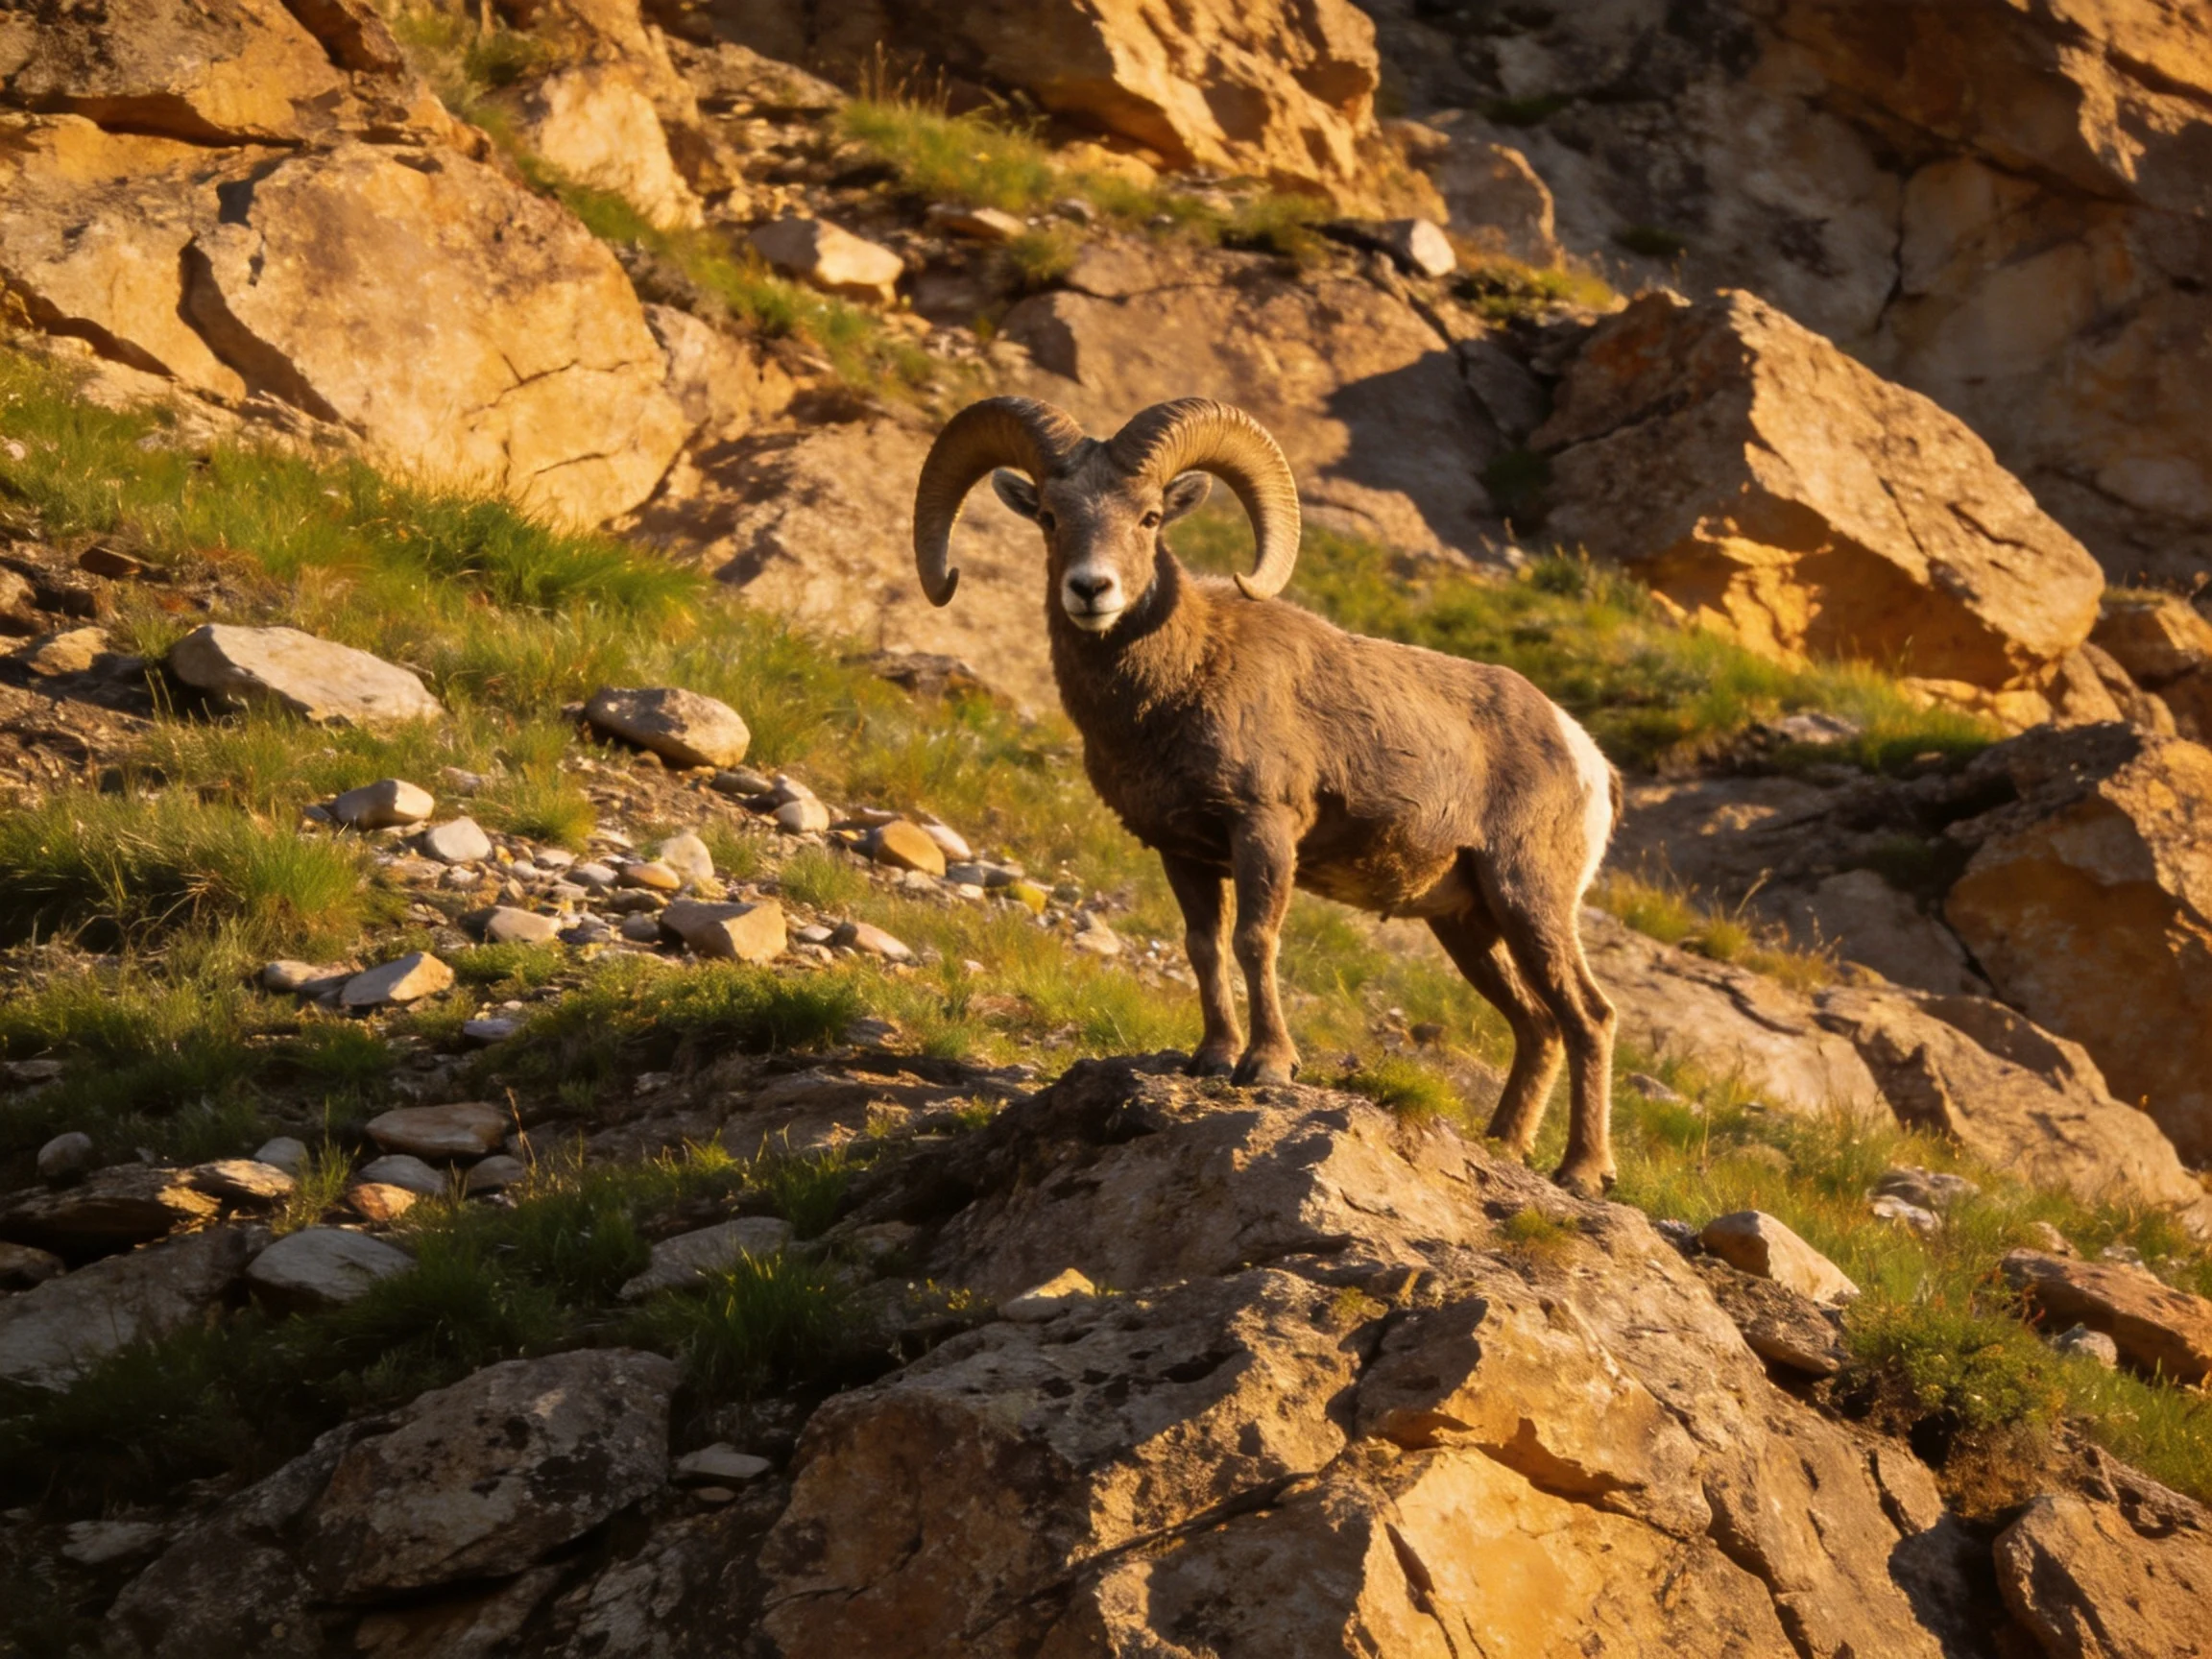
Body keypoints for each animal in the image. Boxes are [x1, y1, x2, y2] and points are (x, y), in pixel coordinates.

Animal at [912, 395, 1621, 1194]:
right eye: (1049, 517)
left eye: (1150, 517)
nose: (1091, 590)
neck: (1180, 679)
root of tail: (1587, 756)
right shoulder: (1185, 853)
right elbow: (1203, 946)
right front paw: (1213, 1058)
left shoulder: (1263, 830)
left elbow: (1255, 939)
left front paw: (1268, 1065)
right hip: (1470, 925)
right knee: (1538, 1023)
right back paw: (1504, 1145)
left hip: (1529, 899)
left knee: (1588, 1016)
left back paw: (1582, 1172)